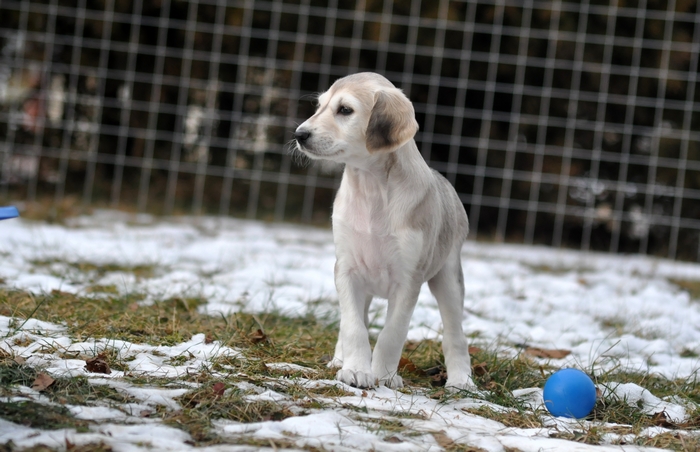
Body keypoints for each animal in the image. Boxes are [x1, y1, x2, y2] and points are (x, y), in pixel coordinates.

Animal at [290, 72, 476, 390]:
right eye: (320, 106)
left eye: (345, 110)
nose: (300, 134)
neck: (370, 189)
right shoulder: (346, 270)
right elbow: (353, 327)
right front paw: (355, 370)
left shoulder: (408, 280)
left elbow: (392, 334)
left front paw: (385, 376)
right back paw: (340, 360)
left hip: (449, 279)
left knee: (455, 335)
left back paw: (461, 380)